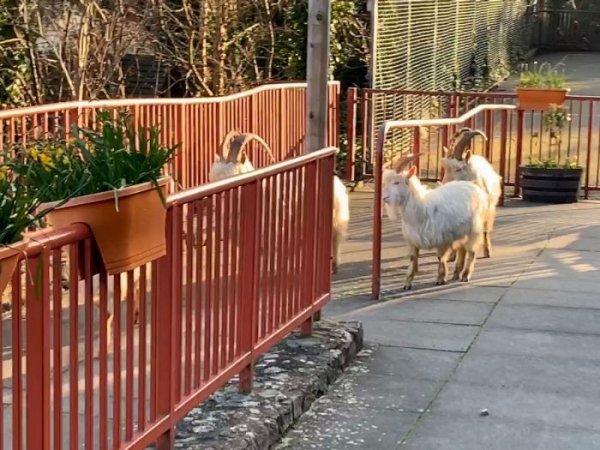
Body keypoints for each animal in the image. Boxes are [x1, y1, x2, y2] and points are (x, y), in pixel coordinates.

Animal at [382, 155, 490, 288]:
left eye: (397, 182)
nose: (384, 198)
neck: (422, 208)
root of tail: (473, 186)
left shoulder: (442, 238)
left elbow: (440, 257)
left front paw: (441, 278)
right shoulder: (413, 241)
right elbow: (412, 259)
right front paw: (407, 283)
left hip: (473, 229)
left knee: (471, 251)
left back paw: (465, 275)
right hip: (462, 231)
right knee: (462, 250)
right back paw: (457, 273)